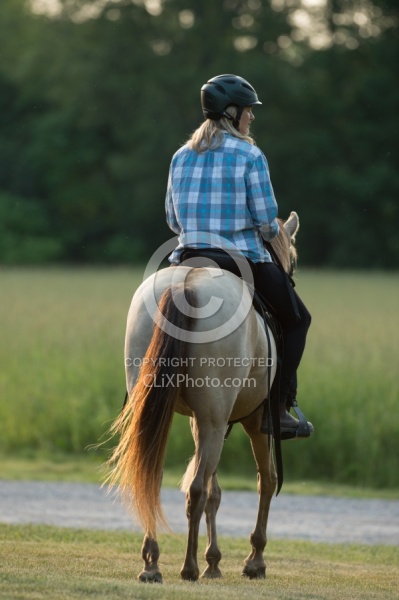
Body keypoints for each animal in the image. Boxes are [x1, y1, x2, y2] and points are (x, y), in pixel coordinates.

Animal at [108, 210, 302, 580]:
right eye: (294, 262)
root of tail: (186, 284)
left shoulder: (203, 422)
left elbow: (216, 490)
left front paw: (215, 560)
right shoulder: (255, 421)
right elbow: (265, 481)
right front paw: (254, 560)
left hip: (180, 416)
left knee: (153, 475)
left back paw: (152, 563)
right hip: (220, 419)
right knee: (197, 488)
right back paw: (189, 566)